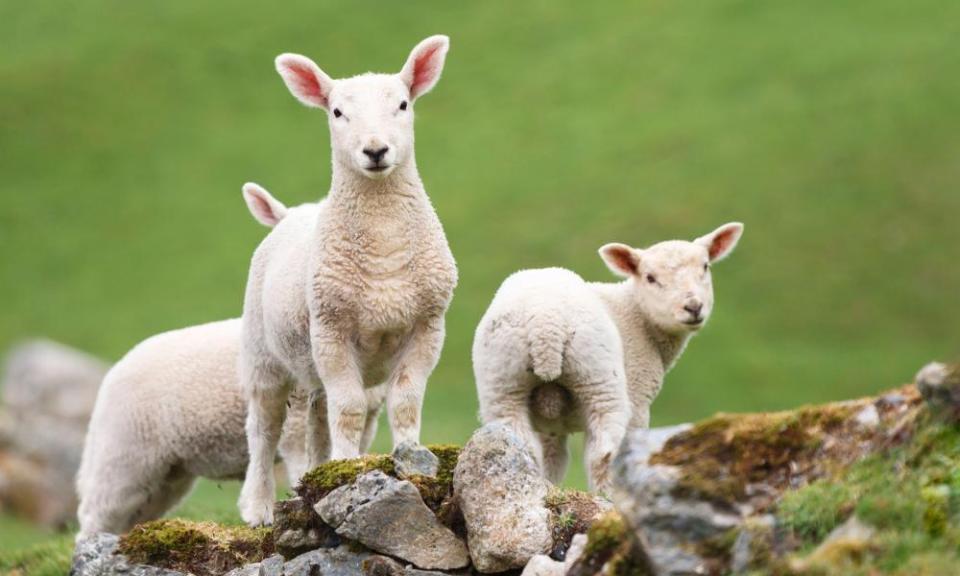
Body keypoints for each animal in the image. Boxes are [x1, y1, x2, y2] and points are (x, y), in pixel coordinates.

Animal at [74, 184, 386, 540]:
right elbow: (302, 466)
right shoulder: (295, 426)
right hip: (124, 453)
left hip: (166, 474)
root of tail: (113, 373)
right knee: (94, 515)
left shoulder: (368, 419)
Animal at [234, 33, 456, 524]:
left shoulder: (428, 326)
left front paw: (410, 460)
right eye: (337, 112)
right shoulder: (332, 328)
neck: (384, 243)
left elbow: (405, 403)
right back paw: (259, 507)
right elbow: (350, 409)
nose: (375, 151)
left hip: (310, 364)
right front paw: (350, 470)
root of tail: (291, 215)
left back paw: (314, 474)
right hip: (263, 354)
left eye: (403, 104)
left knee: (318, 419)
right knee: (263, 431)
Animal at [470, 222, 744, 490]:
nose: (693, 307)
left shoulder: (550, 428)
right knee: (603, 454)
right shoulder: (638, 397)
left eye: (705, 266)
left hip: (503, 385)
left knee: (522, 445)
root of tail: (545, 323)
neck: (637, 314)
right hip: (599, 379)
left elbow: (552, 460)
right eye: (650, 278)